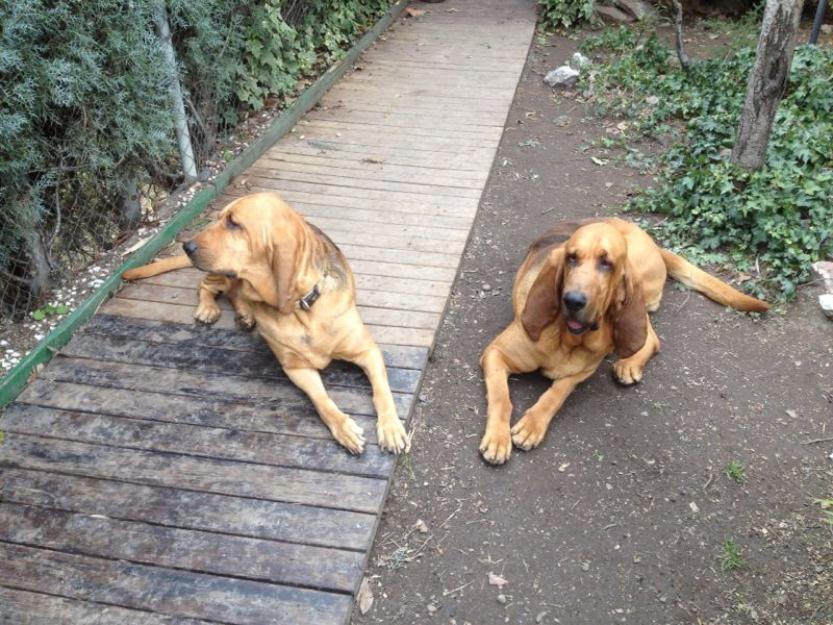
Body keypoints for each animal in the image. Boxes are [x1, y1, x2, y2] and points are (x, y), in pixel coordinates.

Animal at [123, 190, 410, 454]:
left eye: (234, 223)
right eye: (220, 218)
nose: (187, 246)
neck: (301, 307)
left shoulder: (367, 351)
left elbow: (382, 392)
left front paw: (391, 428)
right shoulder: (296, 369)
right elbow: (322, 401)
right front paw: (344, 428)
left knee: (234, 294)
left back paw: (245, 314)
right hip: (222, 276)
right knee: (208, 286)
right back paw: (209, 308)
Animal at [478, 217, 772, 466]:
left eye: (606, 263)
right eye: (571, 258)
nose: (573, 300)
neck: (569, 338)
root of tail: (652, 241)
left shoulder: (581, 373)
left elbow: (556, 394)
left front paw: (532, 425)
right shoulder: (495, 354)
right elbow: (502, 397)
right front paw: (498, 439)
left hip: (636, 292)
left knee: (648, 338)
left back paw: (629, 363)